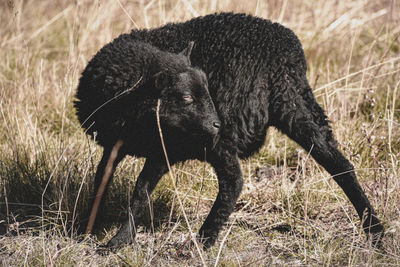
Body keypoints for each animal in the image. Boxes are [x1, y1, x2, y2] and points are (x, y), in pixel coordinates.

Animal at [75, 12, 384, 249]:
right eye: (186, 97)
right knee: (340, 165)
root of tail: (284, 55)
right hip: (296, 106)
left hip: (234, 129)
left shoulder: (164, 147)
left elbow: (140, 191)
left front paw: (118, 241)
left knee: (233, 181)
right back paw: (376, 232)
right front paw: (85, 228)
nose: (216, 123)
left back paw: (202, 240)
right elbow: (102, 180)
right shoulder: (119, 144)